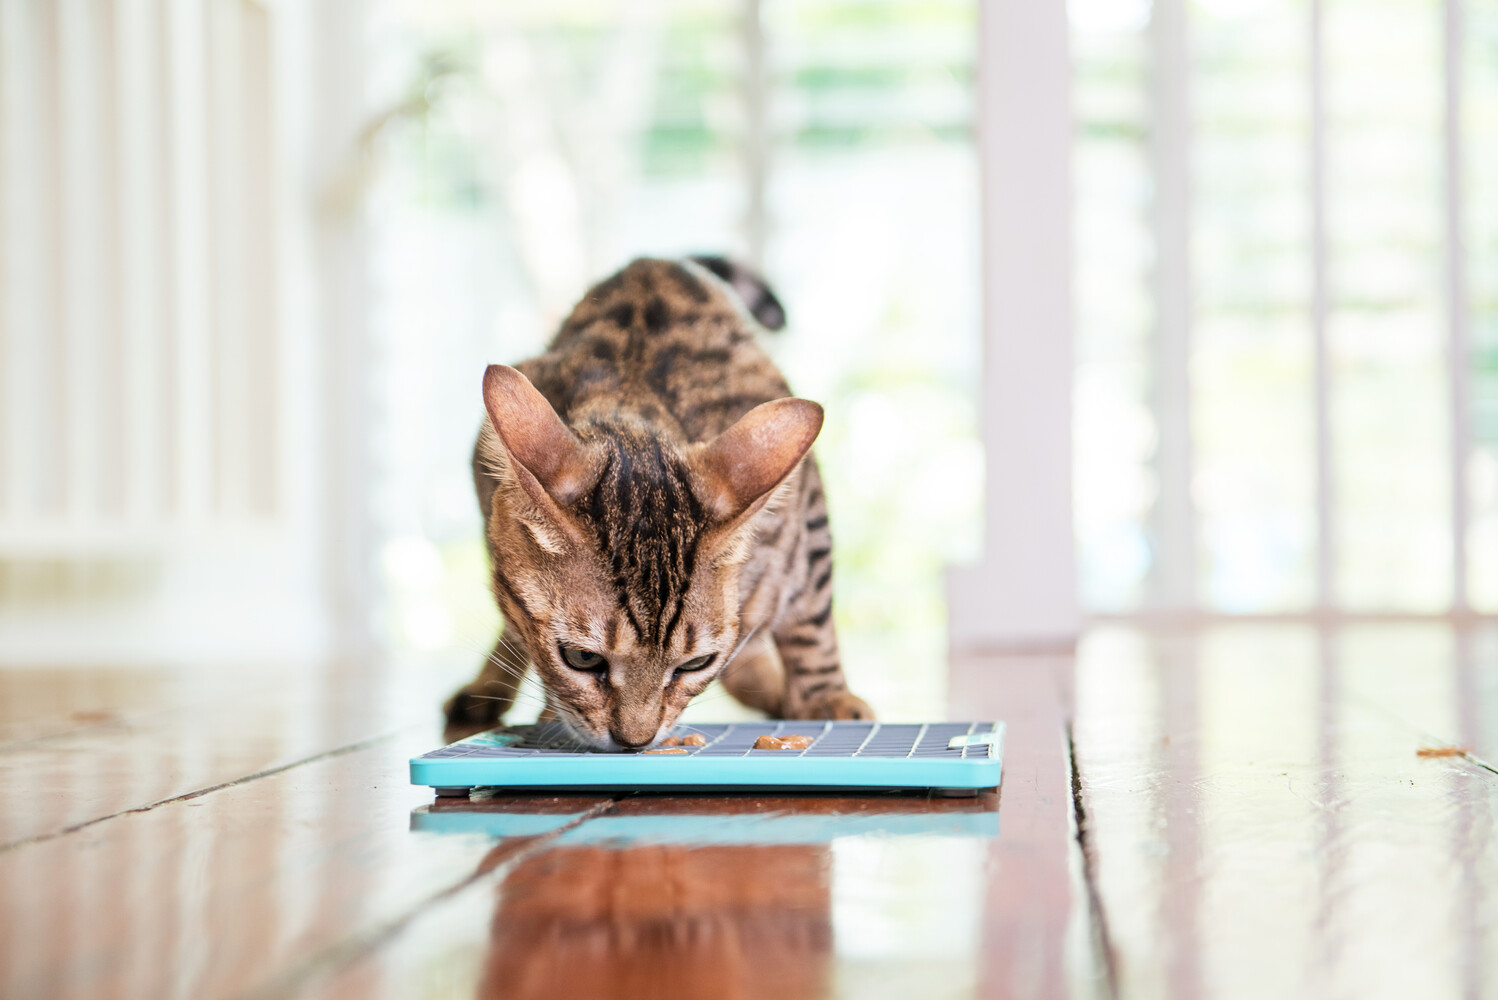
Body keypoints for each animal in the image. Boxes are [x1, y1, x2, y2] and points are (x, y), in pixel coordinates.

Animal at [443, 257, 874, 748]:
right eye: (581, 658)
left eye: (695, 664)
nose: (635, 741)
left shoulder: (807, 511)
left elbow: (812, 622)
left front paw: (825, 698)